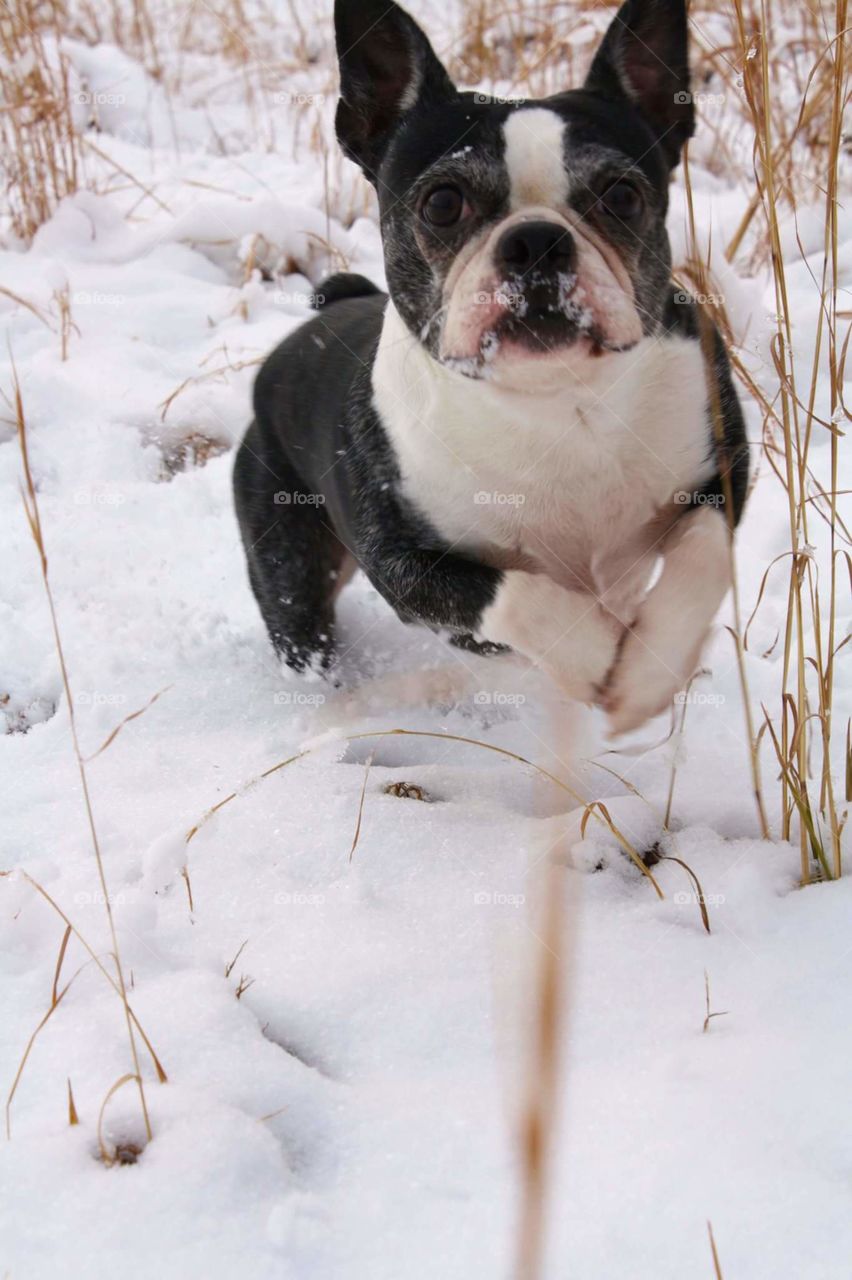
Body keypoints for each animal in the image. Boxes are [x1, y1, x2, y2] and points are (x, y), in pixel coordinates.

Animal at [232, 0, 741, 737]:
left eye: (622, 196)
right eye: (443, 203)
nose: (537, 241)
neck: (557, 398)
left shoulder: (721, 465)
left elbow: (704, 554)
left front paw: (649, 671)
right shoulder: (406, 566)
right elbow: (519, 594)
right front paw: (593, 656)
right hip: (287, 559)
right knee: (304, 632)